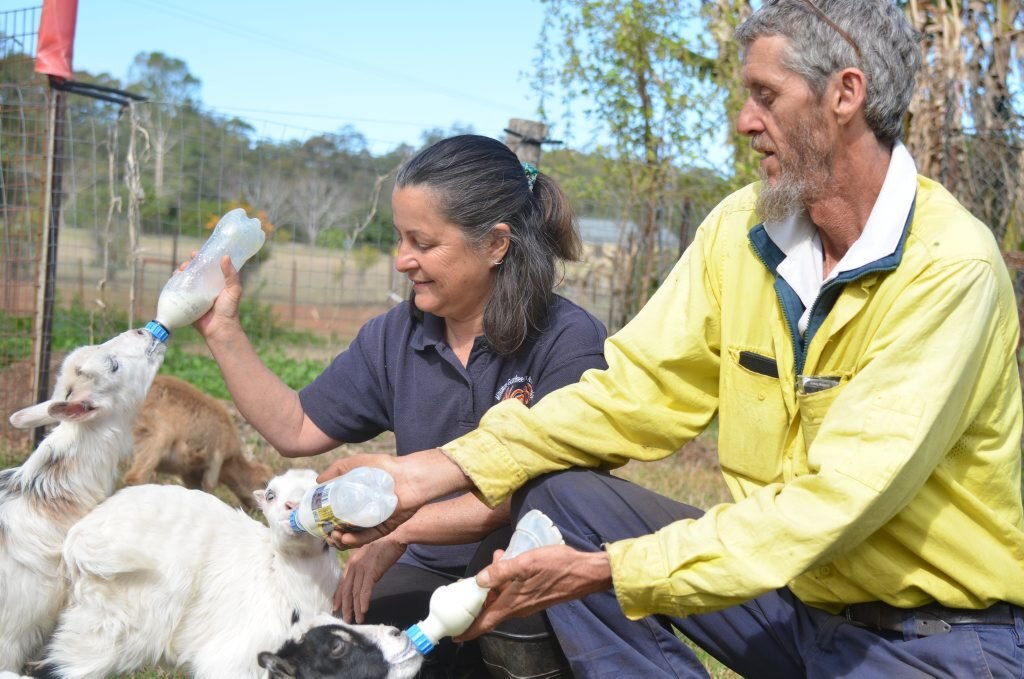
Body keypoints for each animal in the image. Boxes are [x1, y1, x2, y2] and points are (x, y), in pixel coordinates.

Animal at [126, 374, 272, 512]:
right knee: (135, 478)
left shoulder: (189, 471)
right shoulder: (216, 461)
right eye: (264, 483)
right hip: (154, 440)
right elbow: (209, 488)